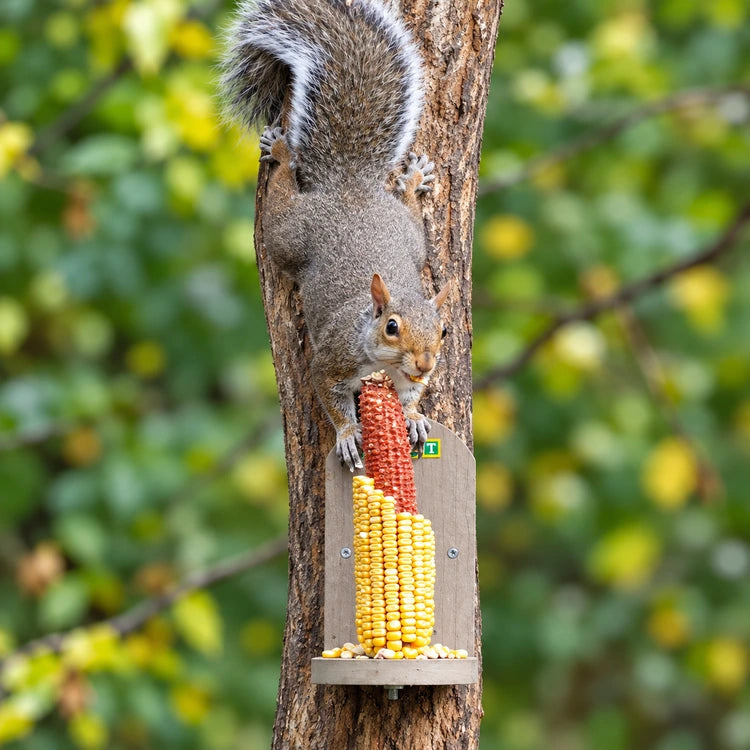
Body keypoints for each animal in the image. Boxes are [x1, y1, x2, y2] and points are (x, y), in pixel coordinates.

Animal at [222, 0, 450, 471]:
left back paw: (412, 181)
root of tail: (349, 186)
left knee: (412, 217)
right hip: (288, 232)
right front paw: (347, 435)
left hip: (411, 235)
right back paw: (282, 153)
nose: (425, 364)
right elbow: (331, 400)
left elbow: (410, 397)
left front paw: (414, 416)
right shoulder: (330, 361)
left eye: (442, 332)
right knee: (281, 200)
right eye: (392, 327)